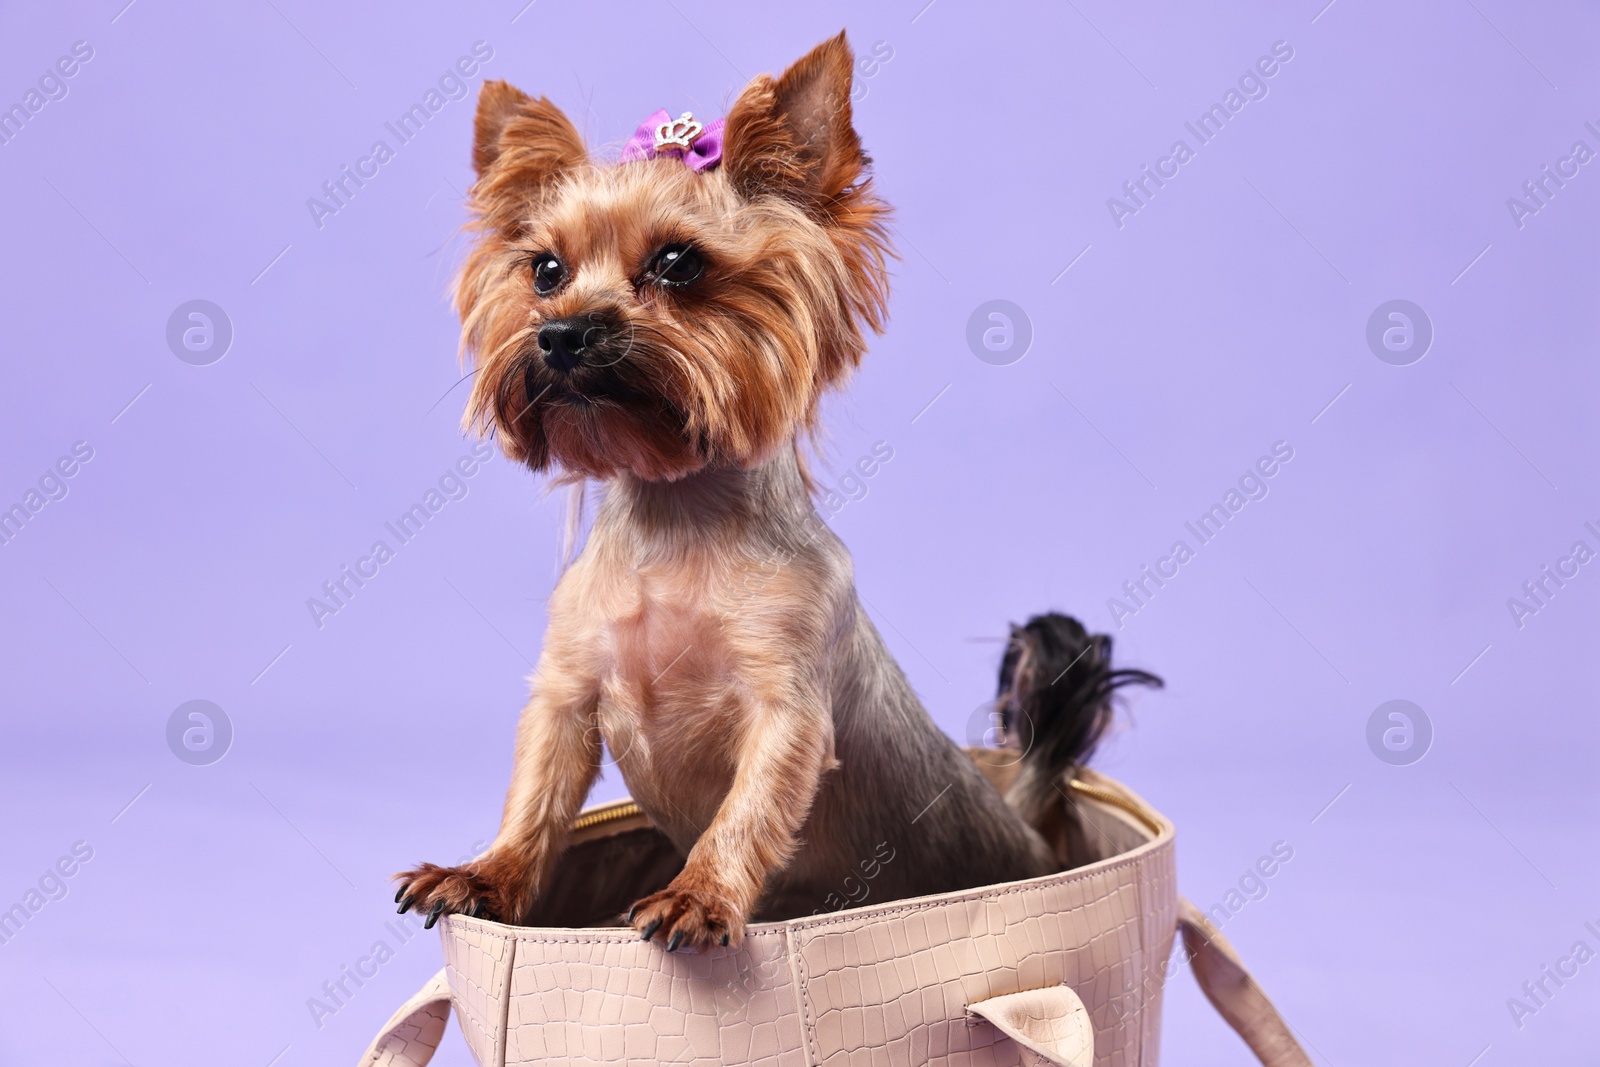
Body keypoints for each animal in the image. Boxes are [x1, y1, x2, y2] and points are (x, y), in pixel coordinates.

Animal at [393, 31, 1158, 953]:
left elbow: (748, 809)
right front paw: (485, 873)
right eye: (545, 270)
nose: (562, 333)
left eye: (678, 263)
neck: (676, 511)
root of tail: (1029, 829)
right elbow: (537, 795)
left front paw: (697, 895)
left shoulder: (786, 707)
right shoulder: (568, 692)